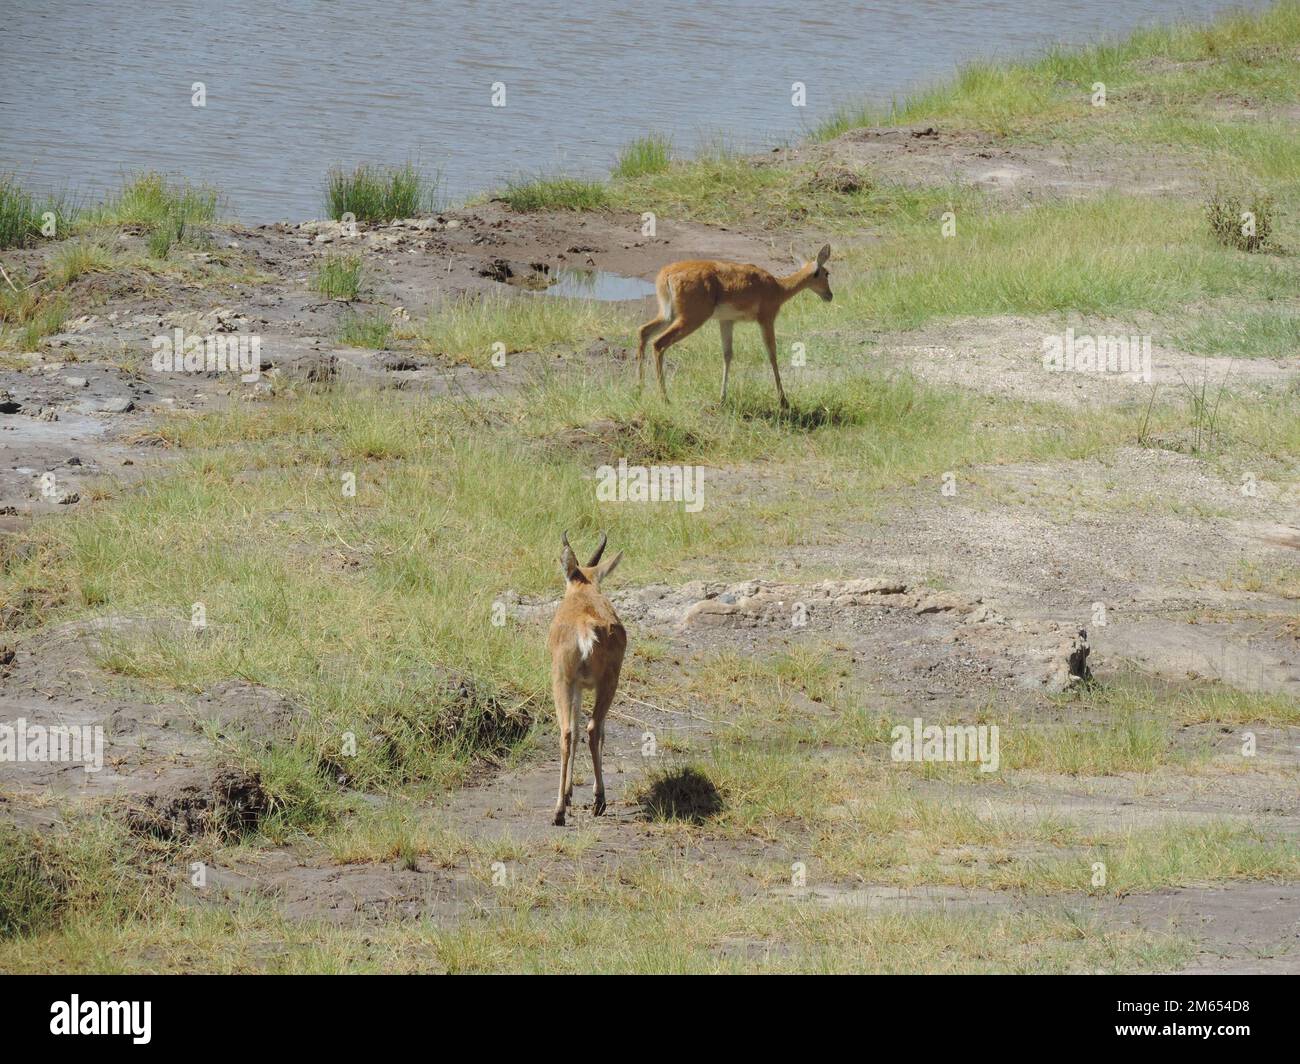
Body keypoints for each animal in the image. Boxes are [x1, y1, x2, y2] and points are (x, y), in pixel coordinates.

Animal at [546, 531, 626, 826]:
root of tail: (586, 629)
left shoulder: (578, 687)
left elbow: (577, 729)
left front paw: (570, 794)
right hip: (604, 684)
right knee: (591, 729)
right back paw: (596, 801)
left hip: (564, 683)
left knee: (569, 732)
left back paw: (560, 811)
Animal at [636, 244, 832, 409]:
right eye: (827, 273)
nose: (829, 295)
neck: (778, 287)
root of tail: (666, 274)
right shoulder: (766, 319)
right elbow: (772, 354)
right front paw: (784, 401)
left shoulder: (726, 321)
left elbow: (727, 354)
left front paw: (722, 398)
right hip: (690, 319)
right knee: (658, 343)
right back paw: (665, 399)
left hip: (667, 315)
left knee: (643, 332)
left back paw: (640, 390)